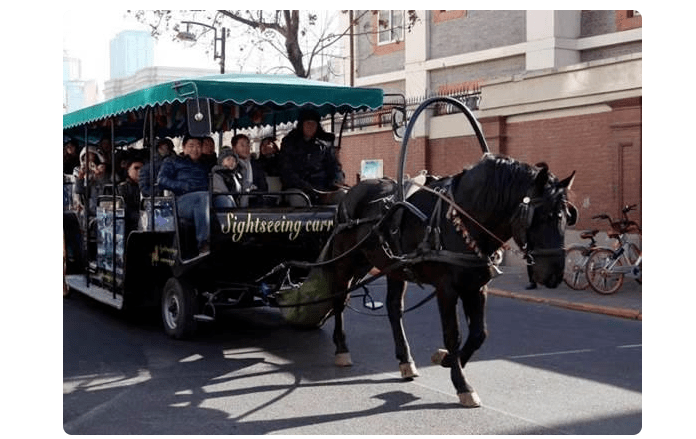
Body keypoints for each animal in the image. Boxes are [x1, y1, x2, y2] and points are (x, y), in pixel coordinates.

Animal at [316, 156, 576, 410]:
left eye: (567, 218)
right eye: (541, 217)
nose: (554, 275)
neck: (462, 222)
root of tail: (350, 191)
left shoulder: (476, 286)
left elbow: (479, 334)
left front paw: (447, 359)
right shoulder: (447, 289)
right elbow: (454, 335)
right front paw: (462, 385)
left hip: (392, 267)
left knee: (393, 308)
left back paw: (405, 360)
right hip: (347, 261)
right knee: (339, 300)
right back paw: (342, 349)